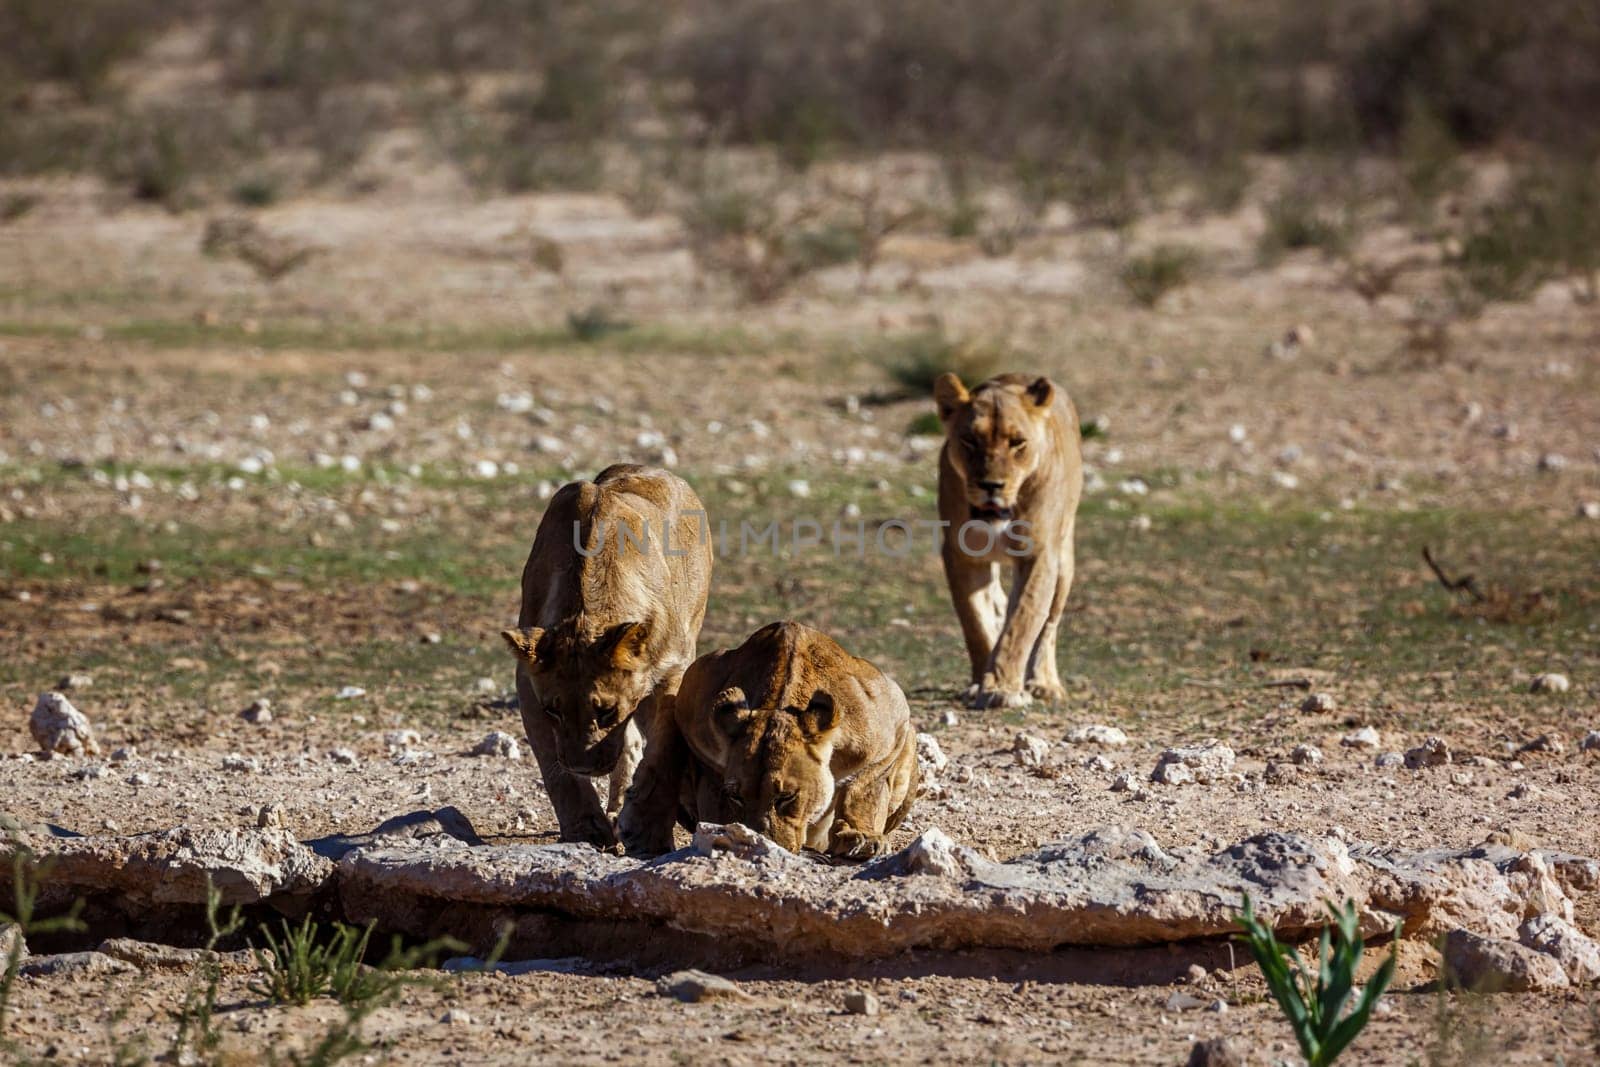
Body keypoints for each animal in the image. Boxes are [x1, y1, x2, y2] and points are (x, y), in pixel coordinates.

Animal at [499, 463, 713, 844]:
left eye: (607, 710)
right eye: (553, 710)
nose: (583, 765)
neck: (587, 612)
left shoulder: (673, 670)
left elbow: (664, 747)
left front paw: (647, 829)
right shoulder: (527, 682)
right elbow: (553, 766)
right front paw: (586, 829)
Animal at [617, 617, 921, 857]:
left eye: (786, 797)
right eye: (737, 797)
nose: (761, 845)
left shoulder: (891, 726)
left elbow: (863, 788)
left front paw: (859, 837)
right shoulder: (694, 715)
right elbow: (714, 797)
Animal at [934, 371, 1081, 713]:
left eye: (1017, 443)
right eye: (970, 440)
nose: (991, 485)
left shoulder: (1039, 553)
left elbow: (1022, 622)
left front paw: (1001, 688)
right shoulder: (960, 554)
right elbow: (976, 620)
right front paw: (980, 683)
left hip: (1064, 559)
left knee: (1049, 625)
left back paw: (1044, 684)